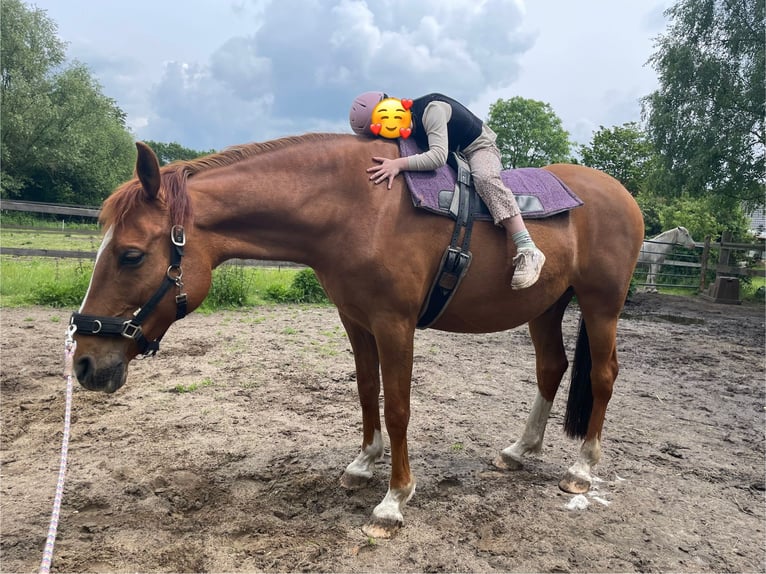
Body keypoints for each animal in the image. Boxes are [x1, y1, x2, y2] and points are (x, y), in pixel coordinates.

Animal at [69, 133, 644, 538]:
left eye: (131, 255)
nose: (85, 363)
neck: (355, 206)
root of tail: (621, 194)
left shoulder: (394, 323)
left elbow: (398, 406)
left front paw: (393, 501)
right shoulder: (356, 320)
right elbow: (368, 392)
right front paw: (364, 464)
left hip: (601, 306)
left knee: (604, 374)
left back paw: (582, 469)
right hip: (546, 307)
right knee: (552, 368)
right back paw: (520, 450)